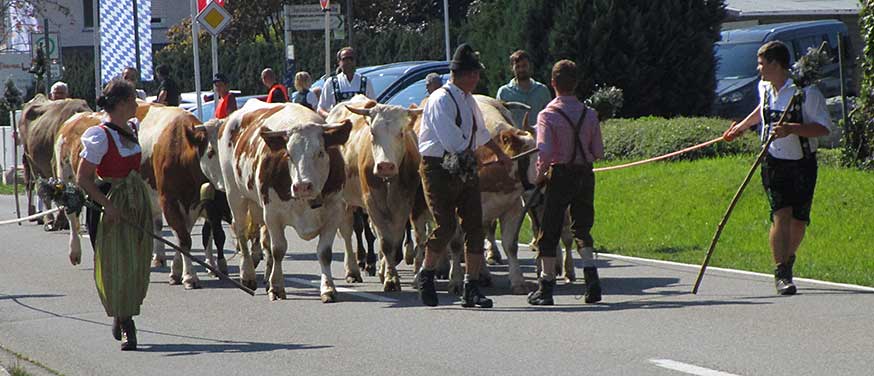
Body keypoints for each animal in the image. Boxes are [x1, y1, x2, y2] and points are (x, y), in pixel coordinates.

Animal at [218, 101, 350, 302]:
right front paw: (277, 287)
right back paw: (247, 275)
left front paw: (328, 289)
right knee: (241, 233)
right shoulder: (272, 214)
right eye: (288, 154)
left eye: (320, 152)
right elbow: (278, 249)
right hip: (235, 194)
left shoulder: (334, 212)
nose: (302, 186)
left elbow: (325, 253)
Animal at [328, 94, 422, 290]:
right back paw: (353, 271)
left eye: (401, 133)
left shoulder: (404, 203)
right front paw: (390, 279)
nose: (385, 166)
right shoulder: (372, 203)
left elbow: (394, 239)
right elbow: (385, 241)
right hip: (345, 200)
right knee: (348, 231)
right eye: (372, 132)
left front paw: (387, 272)